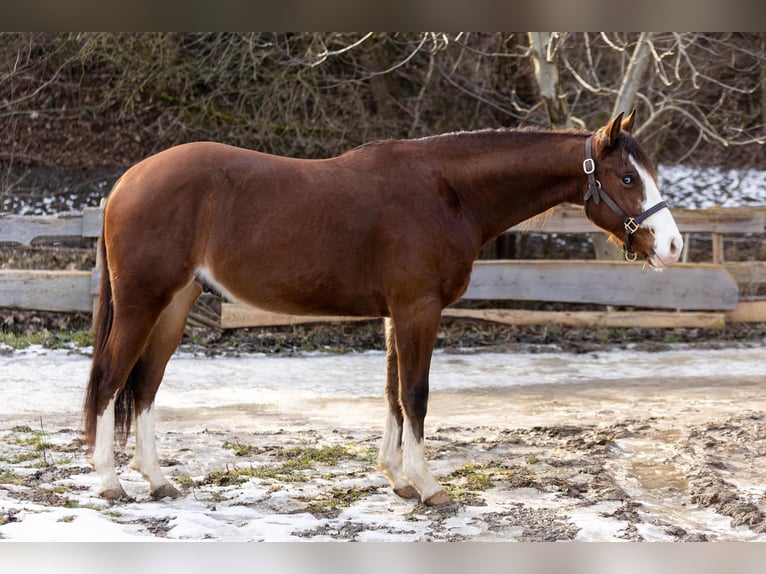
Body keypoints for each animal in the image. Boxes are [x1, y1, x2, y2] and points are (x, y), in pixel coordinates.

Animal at [84, 110, 683, 504]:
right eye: (628, 177)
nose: (675, 247)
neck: (448, 192)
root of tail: (124, 183)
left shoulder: (397, 314)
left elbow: (393, 393)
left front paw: (397, 479)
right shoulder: (419, 309)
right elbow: (415, 395)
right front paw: (429, 486)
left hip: (175, 304)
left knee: (145, 384)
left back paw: (158, 481)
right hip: (143, 302)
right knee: (112, 378)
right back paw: (111, 483)